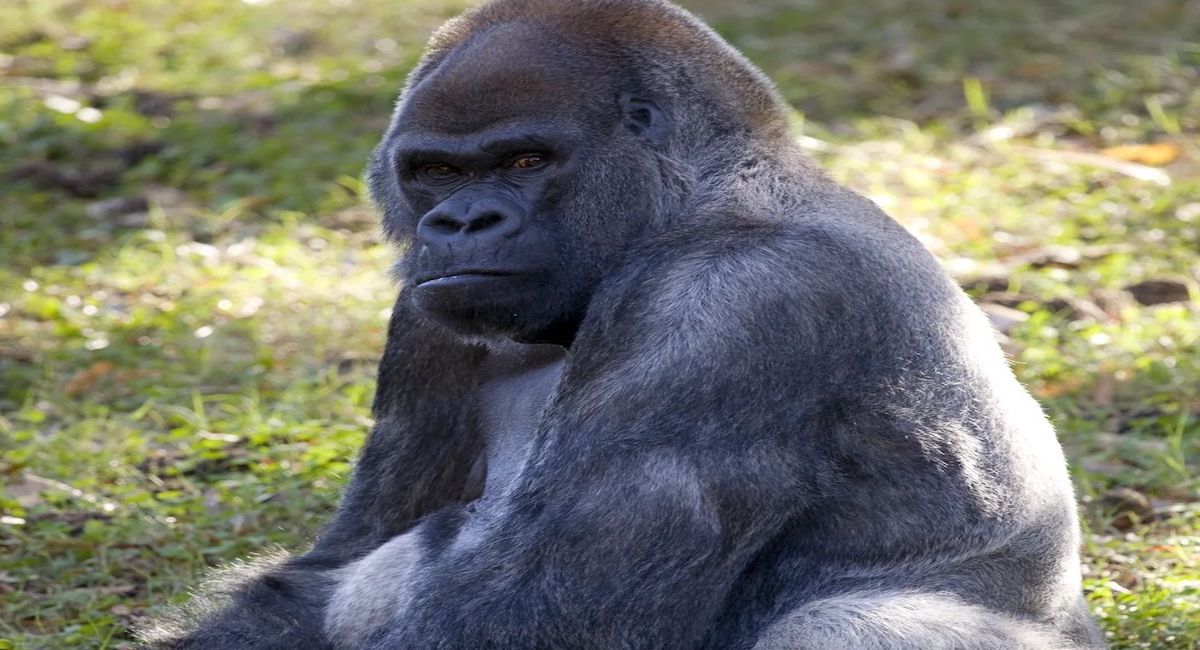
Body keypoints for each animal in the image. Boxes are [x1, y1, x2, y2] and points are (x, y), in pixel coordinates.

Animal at [141, 1, 1105, 648]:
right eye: (435, 171)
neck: (702, 197)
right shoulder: (427, 313)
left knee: (852, 621)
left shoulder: (728, 307)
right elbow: (335, 564)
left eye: (526, 160)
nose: (460, 222)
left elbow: (526, 613)